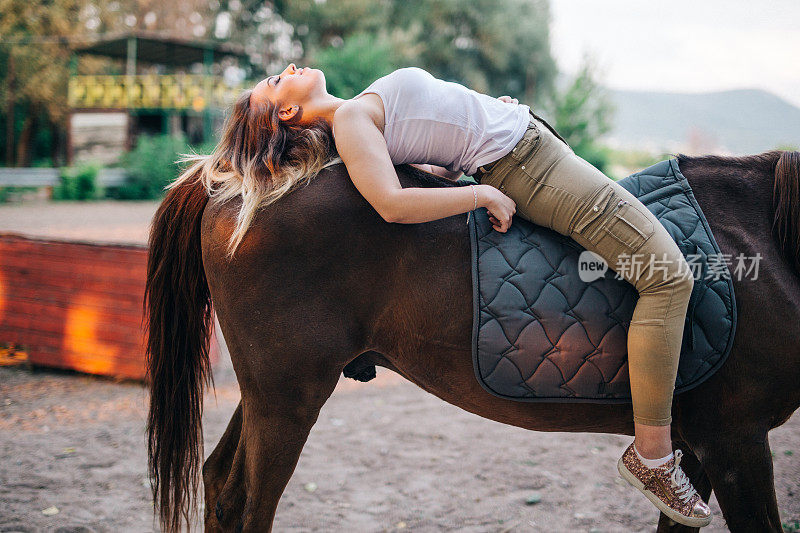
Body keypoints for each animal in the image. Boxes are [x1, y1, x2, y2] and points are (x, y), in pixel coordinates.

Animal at [145, 148, 800, 528]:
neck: (764, 236)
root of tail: (233, 180)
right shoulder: (733, 439)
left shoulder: (697, 445)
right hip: (288, 397)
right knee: (245, 502)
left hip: (269, 394)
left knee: (219, 487)